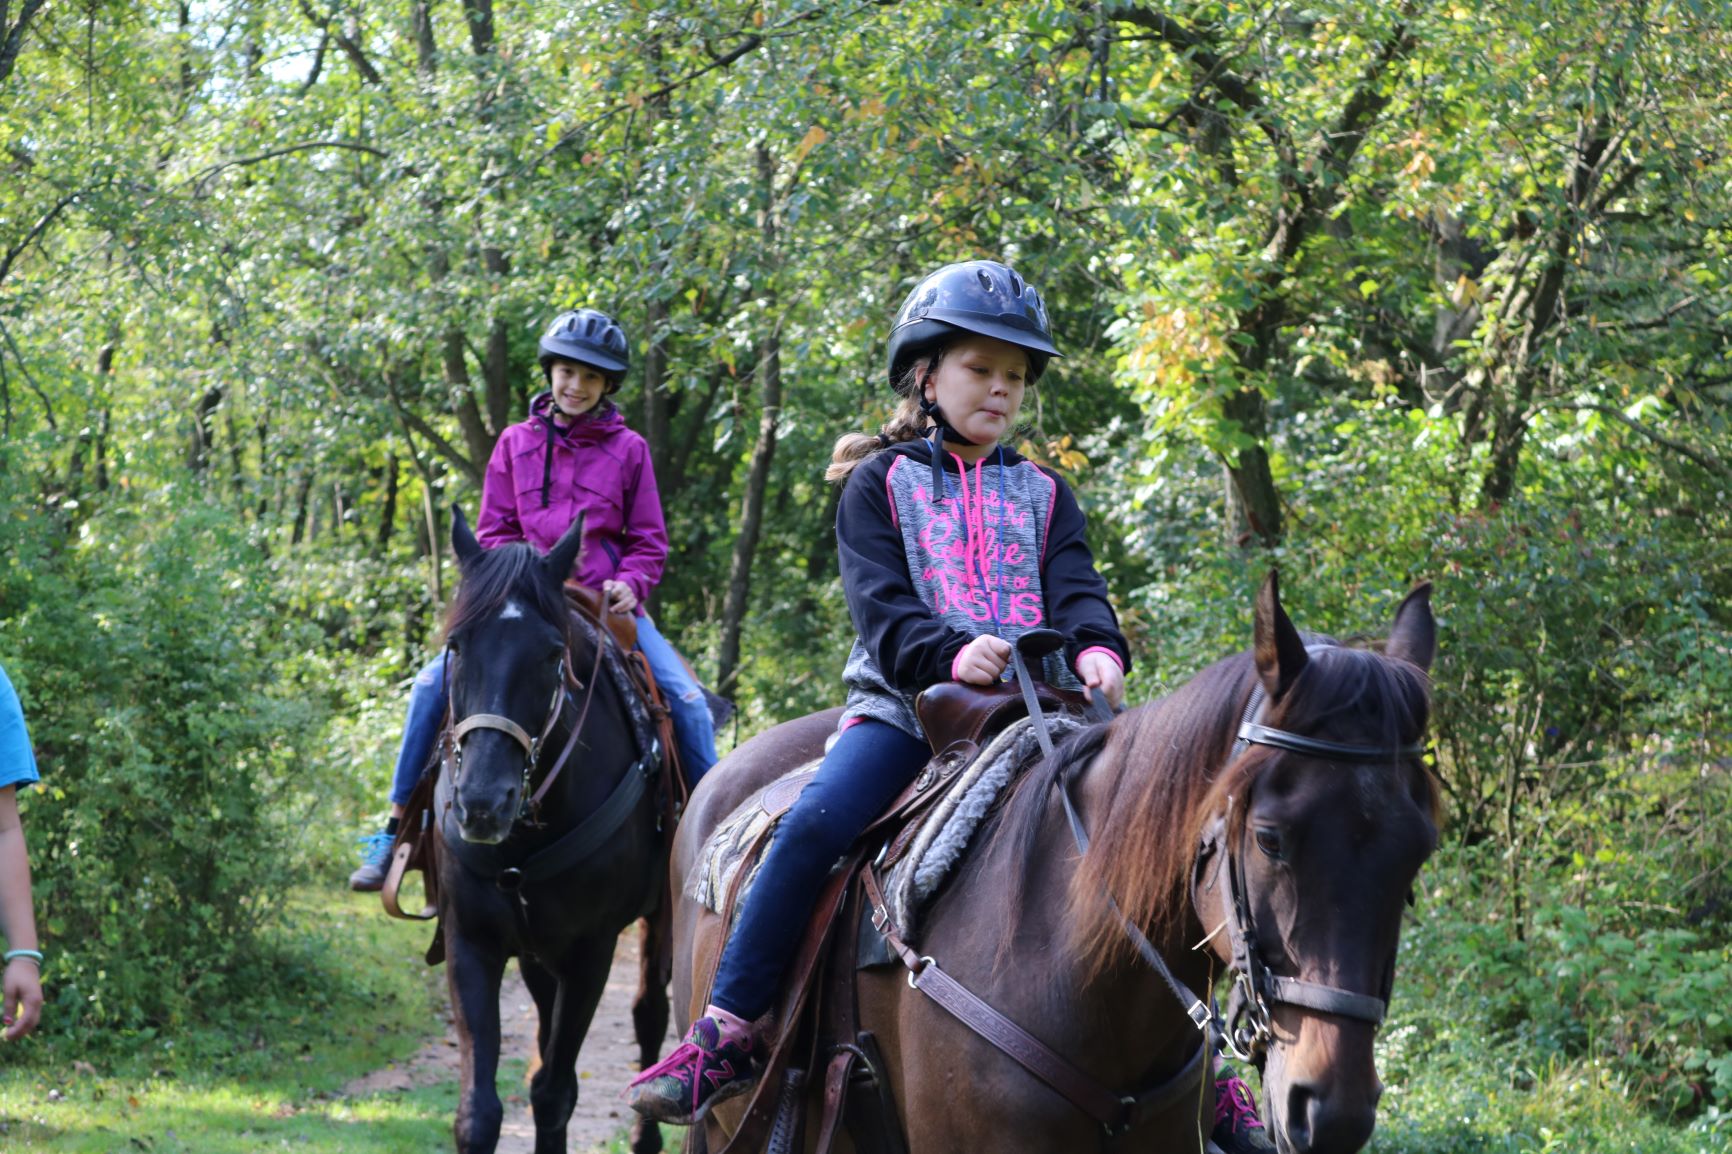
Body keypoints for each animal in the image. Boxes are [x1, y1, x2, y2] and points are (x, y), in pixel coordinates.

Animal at [436, 512, 672, 1150]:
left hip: (657, 921)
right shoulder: (471, 941)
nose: (483, 803)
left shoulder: (592, 950)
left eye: (550, 654)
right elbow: (479, 1111)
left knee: (650, 1012)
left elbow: (553, 1092)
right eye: (456, 646)